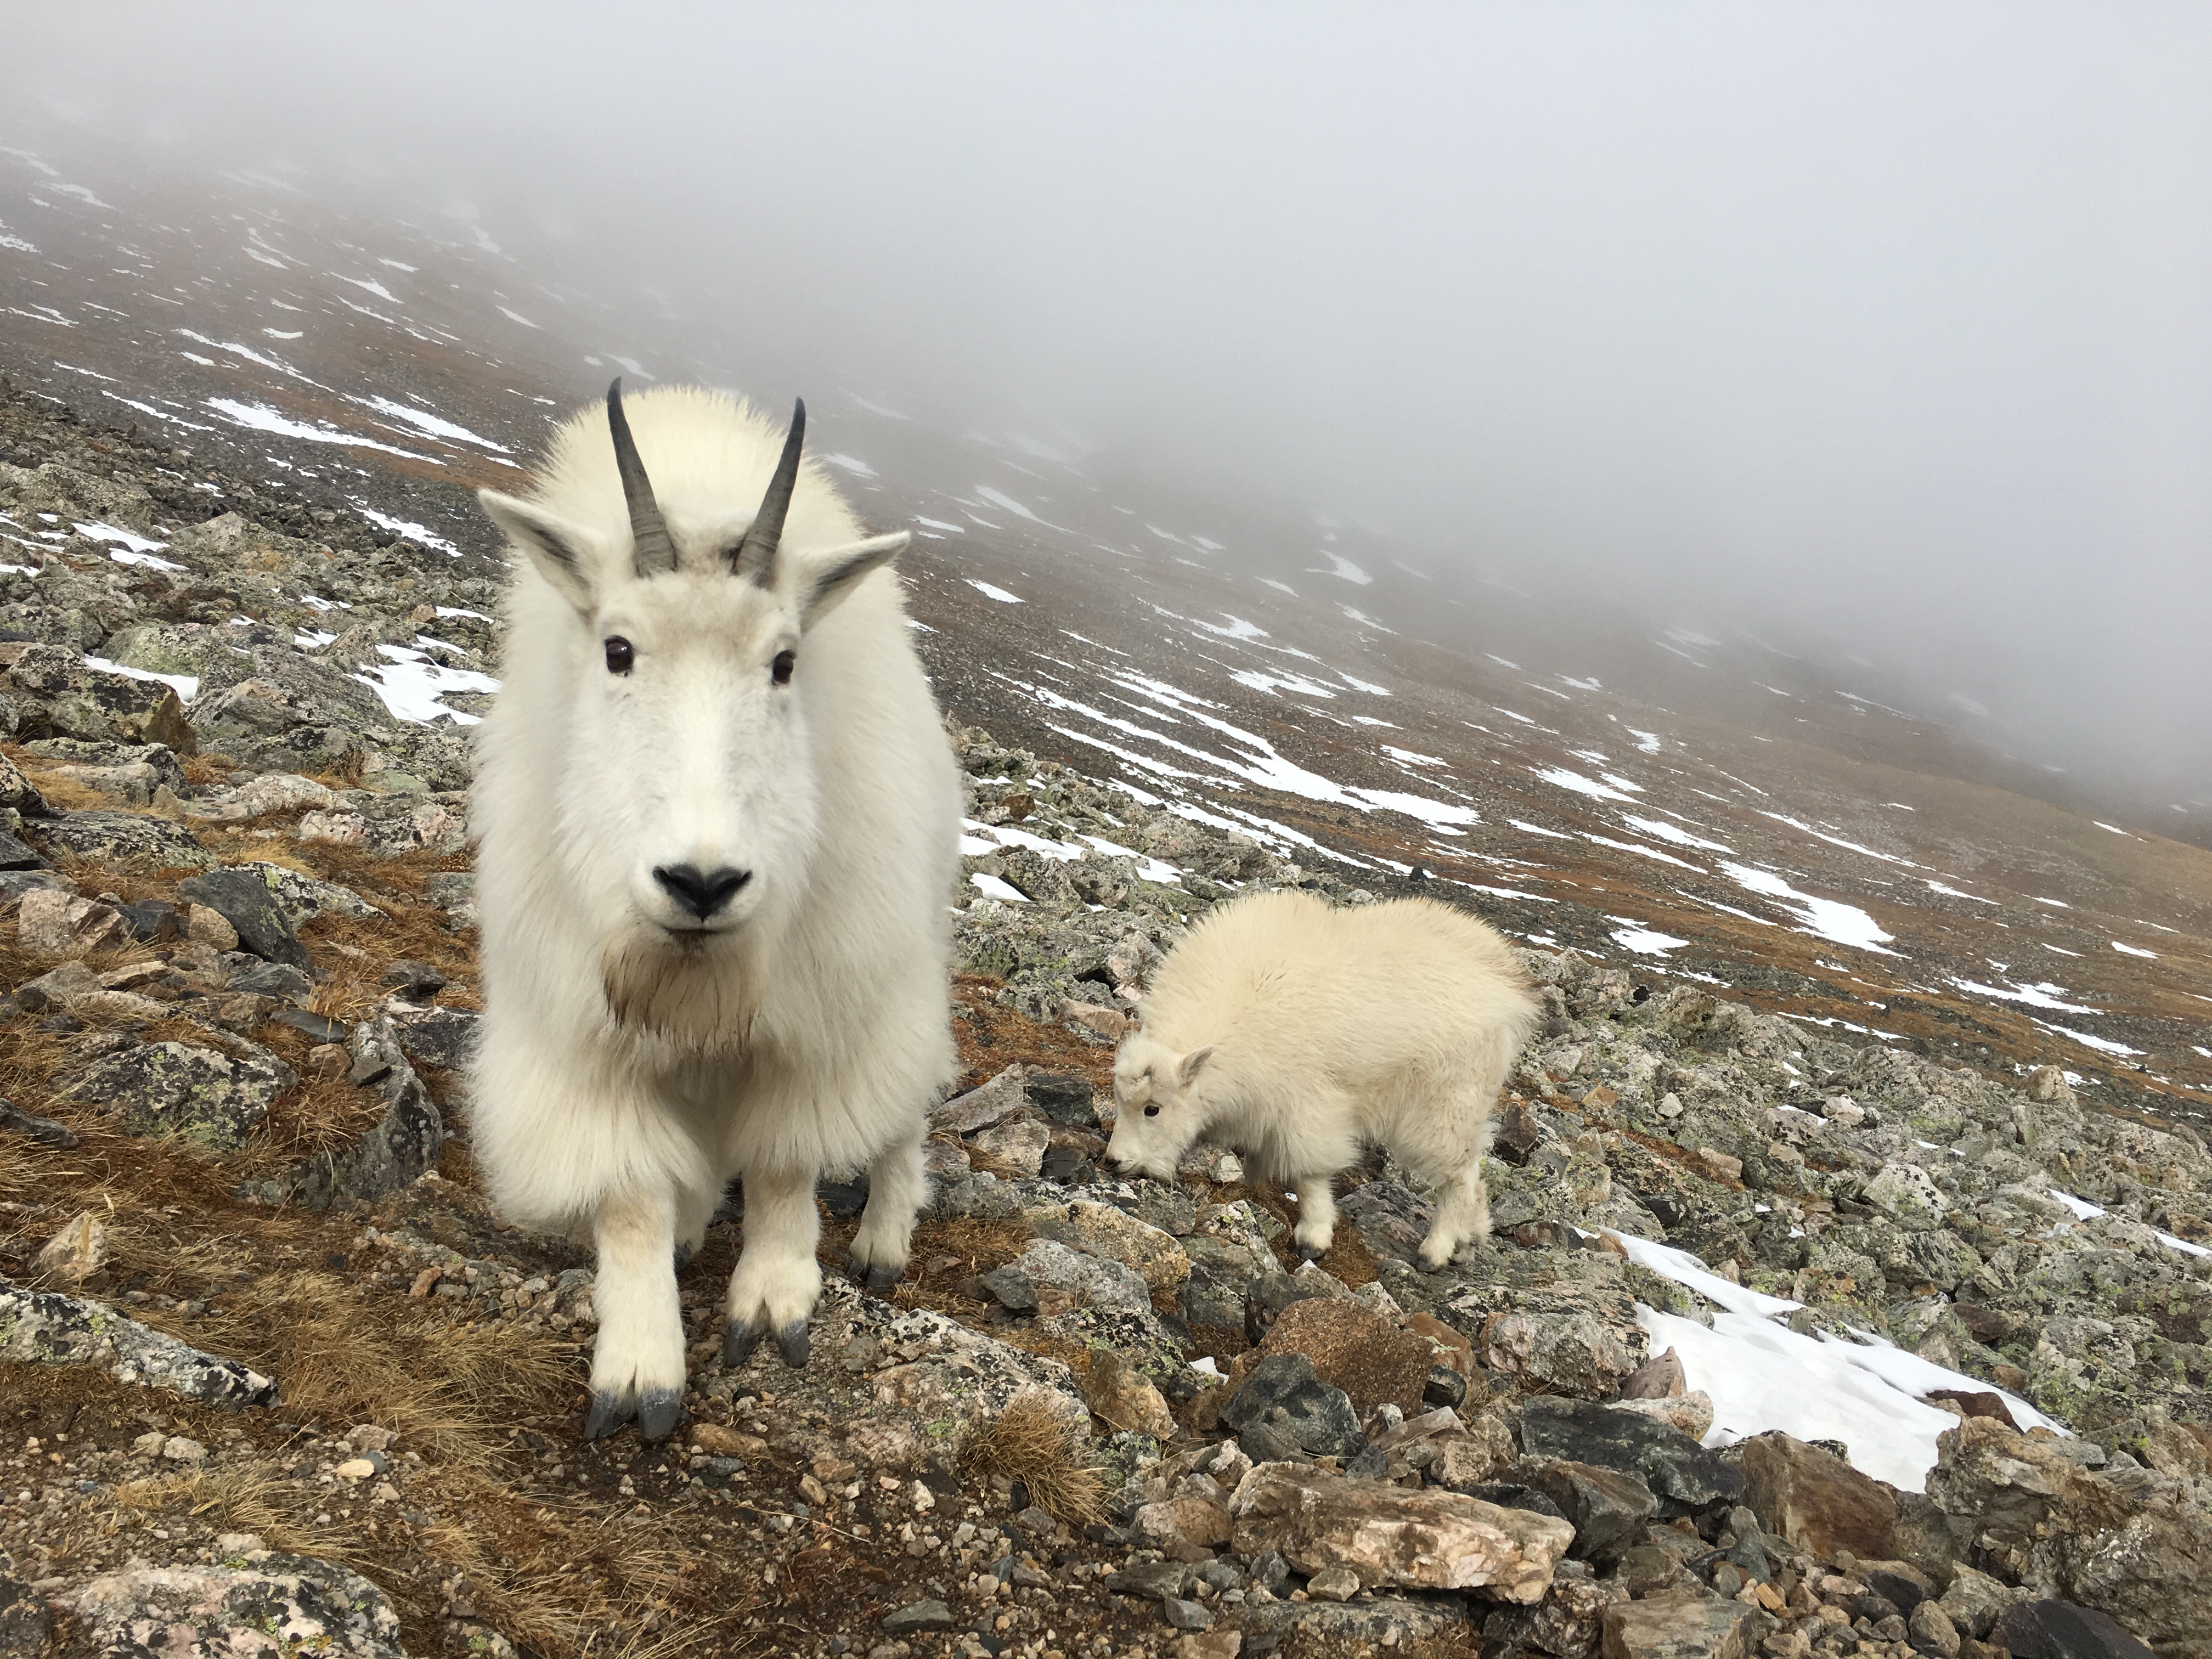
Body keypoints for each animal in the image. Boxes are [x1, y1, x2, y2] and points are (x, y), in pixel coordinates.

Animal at [470, 382, 959, 1439]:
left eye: (782, 662)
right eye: (618, 649)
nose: (702, 883)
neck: (694, 975)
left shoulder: (816, 1016)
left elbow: (783, 1164)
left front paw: (773, 1304)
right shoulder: (583, 1036)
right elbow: (630, 1199)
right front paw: (639, 1371)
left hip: (909, 954)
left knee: (906, 1104)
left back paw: (884, 1238)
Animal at [1106, 889, 1537, 1267]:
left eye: (1153, 1109)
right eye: (1120, 1101)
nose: (1114, 1162)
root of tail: (1509, 986)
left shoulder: (1308, 1106)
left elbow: (1310, 1174)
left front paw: (1313, 1238)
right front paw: (1251, 1185)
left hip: (1445, 1103)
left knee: (1459, 1175)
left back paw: (1437, 1249)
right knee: (1475, 1173)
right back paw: (1470, 1240)